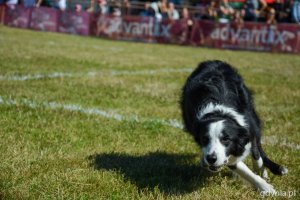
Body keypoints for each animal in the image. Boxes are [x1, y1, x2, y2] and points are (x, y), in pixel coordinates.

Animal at [180, 59, 288, 192]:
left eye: (226, 139)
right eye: (204, 139)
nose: (211, 159)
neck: (220, 112)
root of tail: (212, 61)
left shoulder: (249, 127)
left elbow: (256, 154)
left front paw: (262, 174)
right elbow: (242, 170)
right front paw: (265, 187)